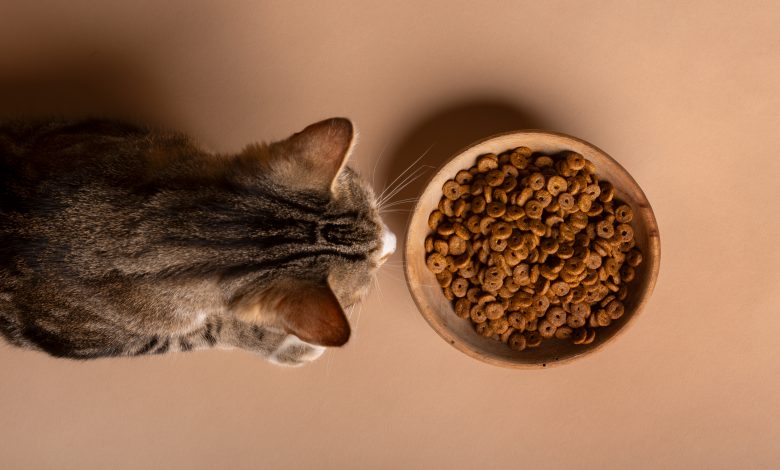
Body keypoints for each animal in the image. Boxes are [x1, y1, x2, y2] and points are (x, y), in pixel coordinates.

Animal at [0, 115, 394, 366]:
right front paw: (285, 345)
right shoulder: (112, 340)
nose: (391, 244)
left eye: (374, 208)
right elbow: (208, 330)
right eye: (359, 293)